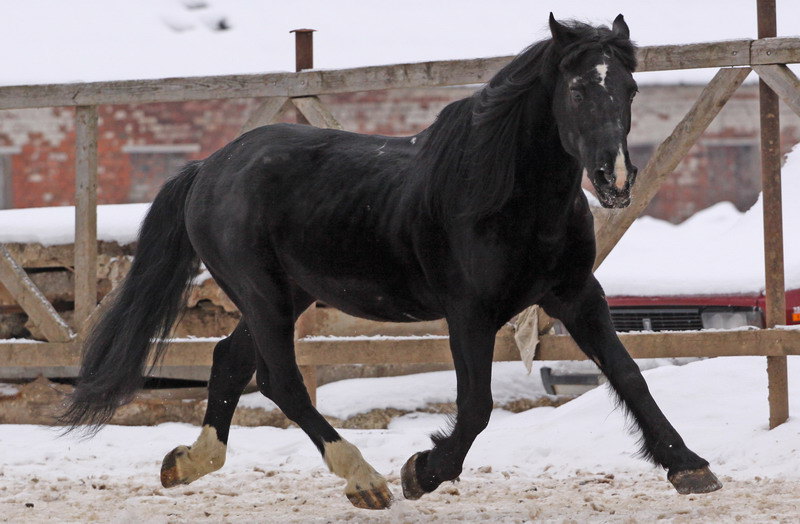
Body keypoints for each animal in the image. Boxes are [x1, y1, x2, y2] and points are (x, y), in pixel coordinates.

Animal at [62, 15, 720, 508]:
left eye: (630, 89)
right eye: (579, 88)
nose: (615, 180)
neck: (507, 196)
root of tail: (208, 170)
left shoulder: (577, 295)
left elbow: (629, 374)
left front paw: (689, 466)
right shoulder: (469, 312)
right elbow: (475, 407)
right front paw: (422, 470)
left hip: (284, 296)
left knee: (228, 363)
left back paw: (187, 463)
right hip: (263, 294)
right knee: (281, 382)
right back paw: (365, 480)